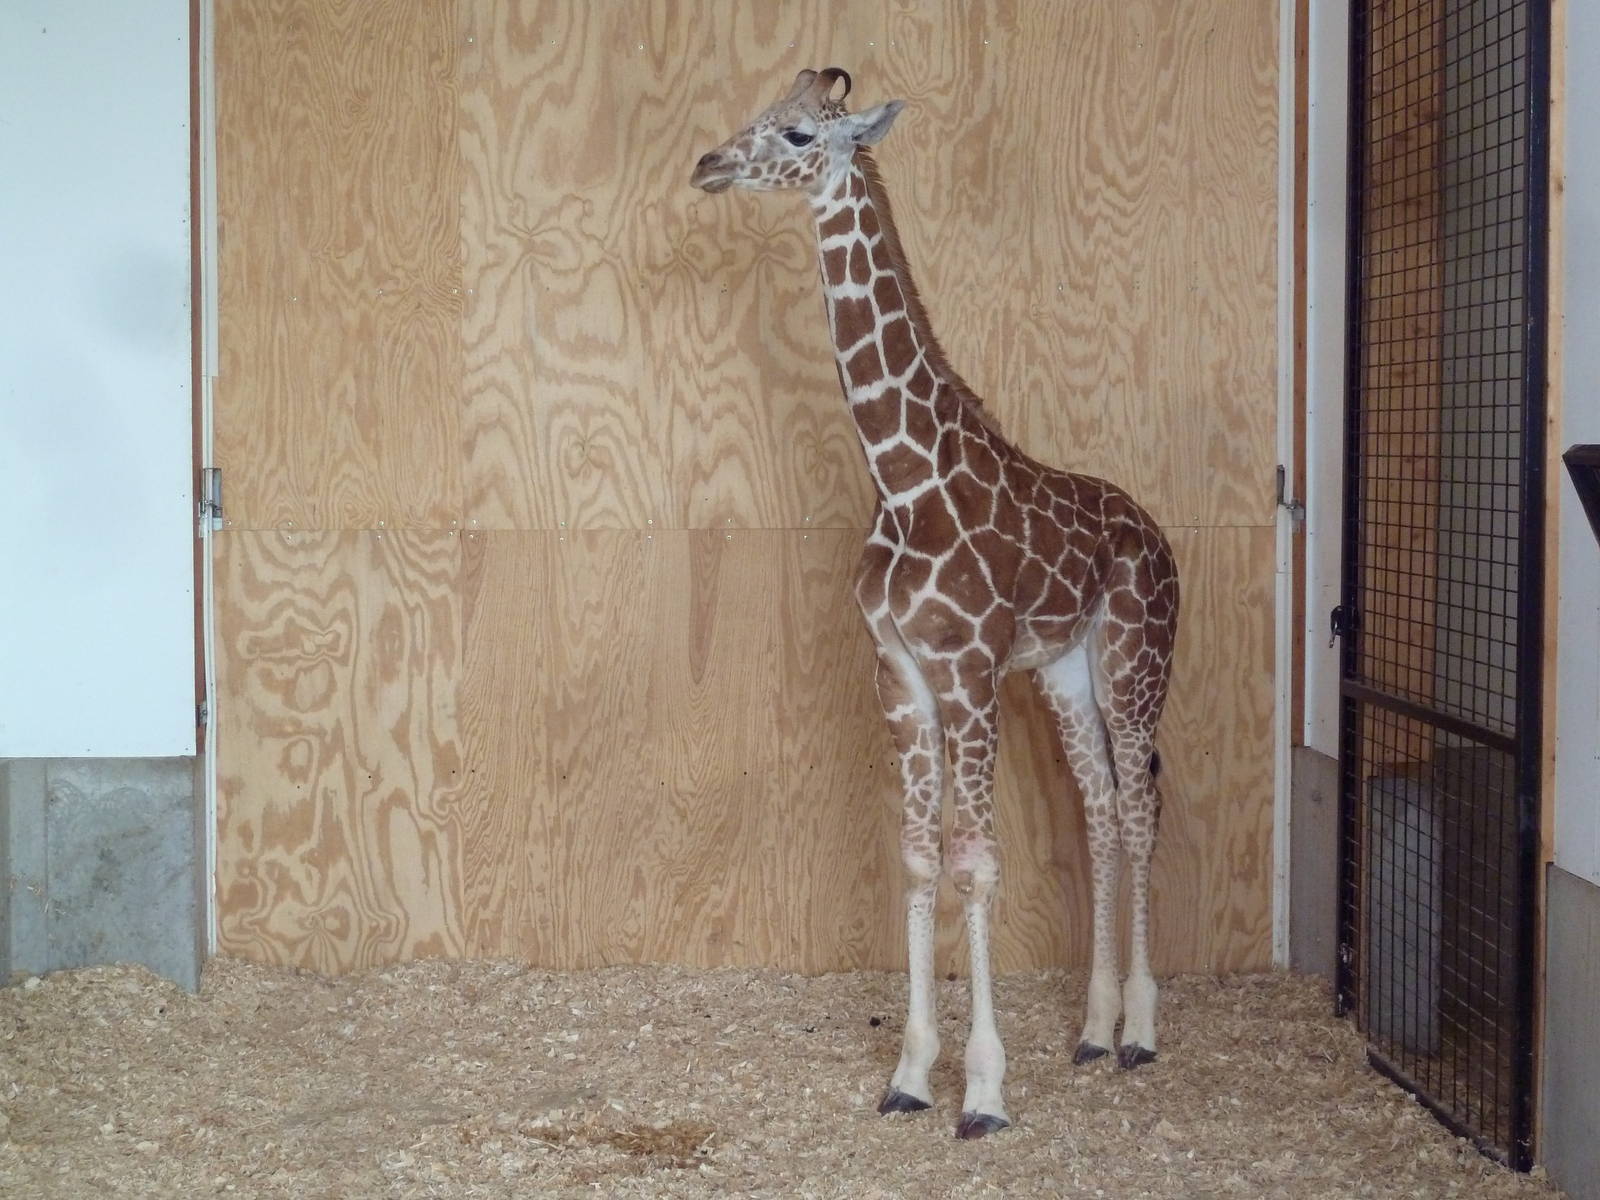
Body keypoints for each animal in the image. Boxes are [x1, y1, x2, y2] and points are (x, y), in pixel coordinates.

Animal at [691, 67, 1180, 1139]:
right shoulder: (902, 675)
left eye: (798, 131)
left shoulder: (967, 673)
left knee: (1140, 811)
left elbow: (977, 862)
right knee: (1100, 812)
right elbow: (920, 859)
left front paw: (985, 1091)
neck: (903, 474)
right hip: (1067, 673)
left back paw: (1141, 1030)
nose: (707, 164)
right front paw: (912, 1075)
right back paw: (1092, 1029)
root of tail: (1160, 536)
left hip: (1138, 663)